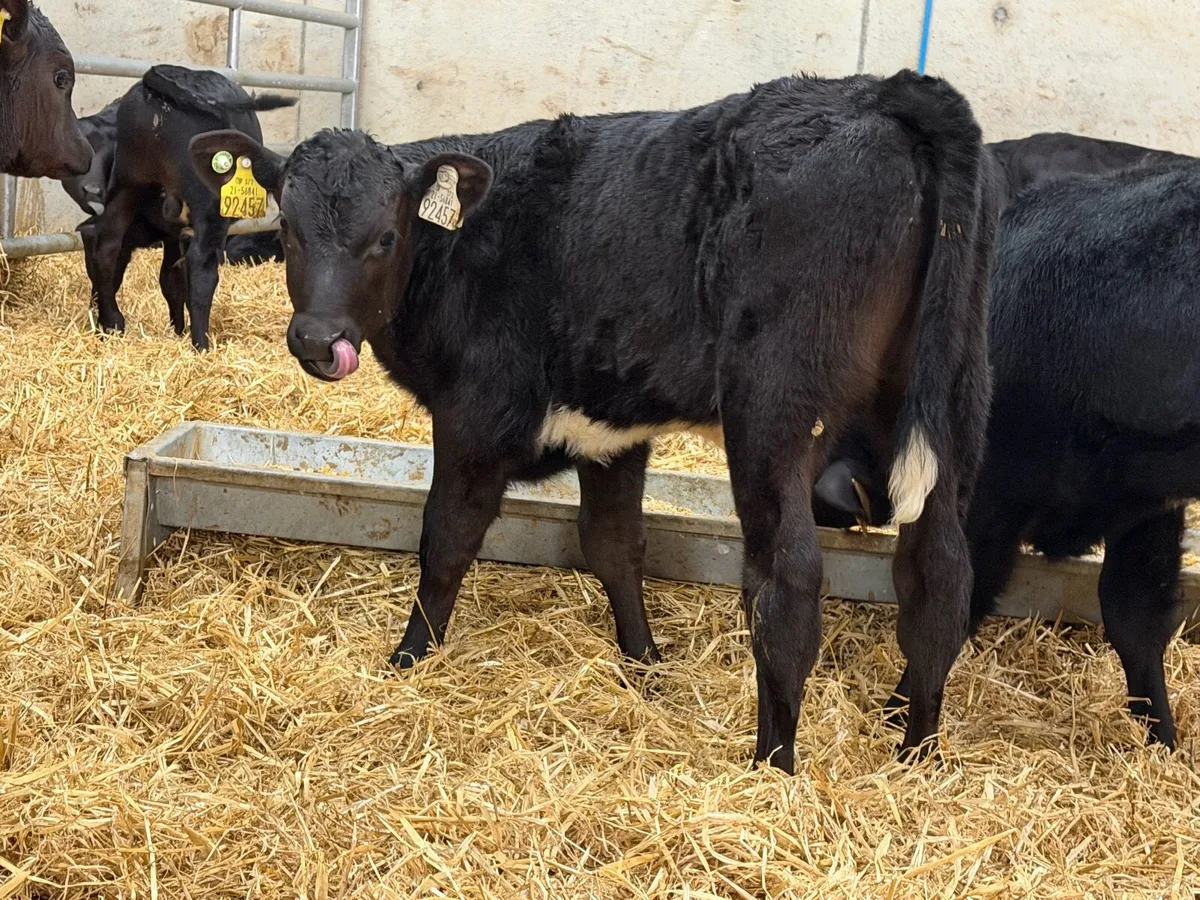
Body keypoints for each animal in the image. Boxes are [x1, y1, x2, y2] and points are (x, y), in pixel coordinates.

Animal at [86, 65, 293, 349]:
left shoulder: (174, 232)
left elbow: (172, 280)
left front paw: (177, 329)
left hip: (126, 185)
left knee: (107, 247)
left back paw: (111, 324)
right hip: (209, 207)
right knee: (202, 268)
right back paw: (201, 345)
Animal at [189, 70, 996, 773]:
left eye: (384, 238)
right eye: (289, 229)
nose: (318, 340)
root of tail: (888, 90)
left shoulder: (474, 413)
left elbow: (446, 540)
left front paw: (408, 659)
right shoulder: (614, 430)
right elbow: (614, 545)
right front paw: (645, 666)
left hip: (776, 410)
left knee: (788, 580)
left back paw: (772, 767)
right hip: (949, 406)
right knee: (939, 574)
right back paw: (917, 748)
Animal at [819, 159, 1200, 750]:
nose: (822, 500)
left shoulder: (980, 502)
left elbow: (943, 613)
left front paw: (904, 729)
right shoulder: (1148, 508)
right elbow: (1134, 616)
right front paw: (1162, 742)